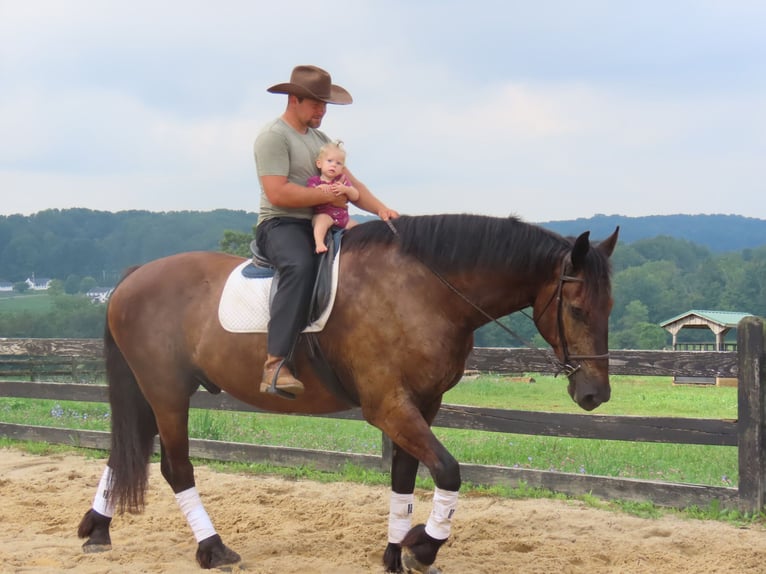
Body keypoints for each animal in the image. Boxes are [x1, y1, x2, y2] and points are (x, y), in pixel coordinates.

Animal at [77, 213, 618, 573]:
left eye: (609, 306)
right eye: (575, 307)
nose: (595, 394)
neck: (422, 292)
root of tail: (132, 278)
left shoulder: (422, 405)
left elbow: (403, 480)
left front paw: (395, 553)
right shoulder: (388, 406)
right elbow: (448, 471)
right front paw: (423, 547)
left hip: (153, 391)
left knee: (126, 450)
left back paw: (97, 528)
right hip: (167, 391)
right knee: (175, 467)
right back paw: (212, 549)